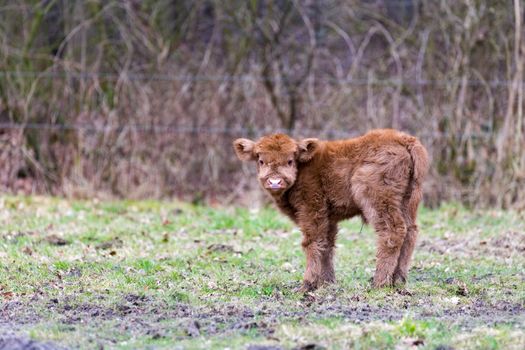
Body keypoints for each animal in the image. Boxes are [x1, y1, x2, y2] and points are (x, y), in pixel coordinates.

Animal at [235, 129, 428, 290]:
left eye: (290, 160)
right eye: (261, 160)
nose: (275, 181)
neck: (304, 167)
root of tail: (403, 139)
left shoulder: (312, 210)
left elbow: (312, 242)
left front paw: (307, 284)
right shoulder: (329, 218)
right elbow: (326, 245)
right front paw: (327, 281)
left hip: (378, 199)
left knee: (392, 232)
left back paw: (379, 283)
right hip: (408, 202)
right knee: (410, 232)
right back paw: (398, 280)